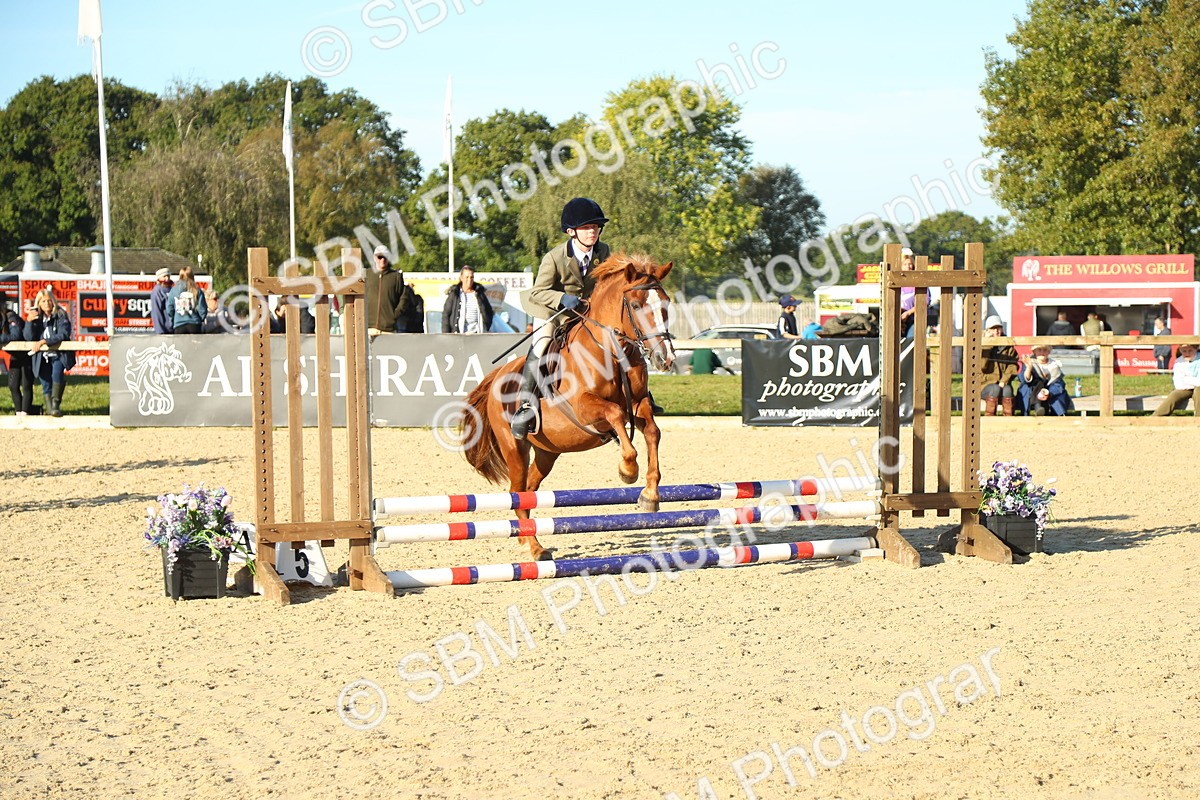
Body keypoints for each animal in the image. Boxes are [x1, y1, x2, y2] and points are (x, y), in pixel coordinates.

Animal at [461, 253, 676, 561]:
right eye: (635, 305)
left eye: (666, 303)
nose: (665, 359)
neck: (612, 352)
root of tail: (495, 379)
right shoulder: (584, 407)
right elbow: (614, 414)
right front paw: (627, 470)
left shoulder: (638, 404)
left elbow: (652, 432)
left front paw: (650, 495)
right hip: (514, 447)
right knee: (517, 492)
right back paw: (536, 548)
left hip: (547, 453)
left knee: (528, 491)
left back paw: (527, 539)